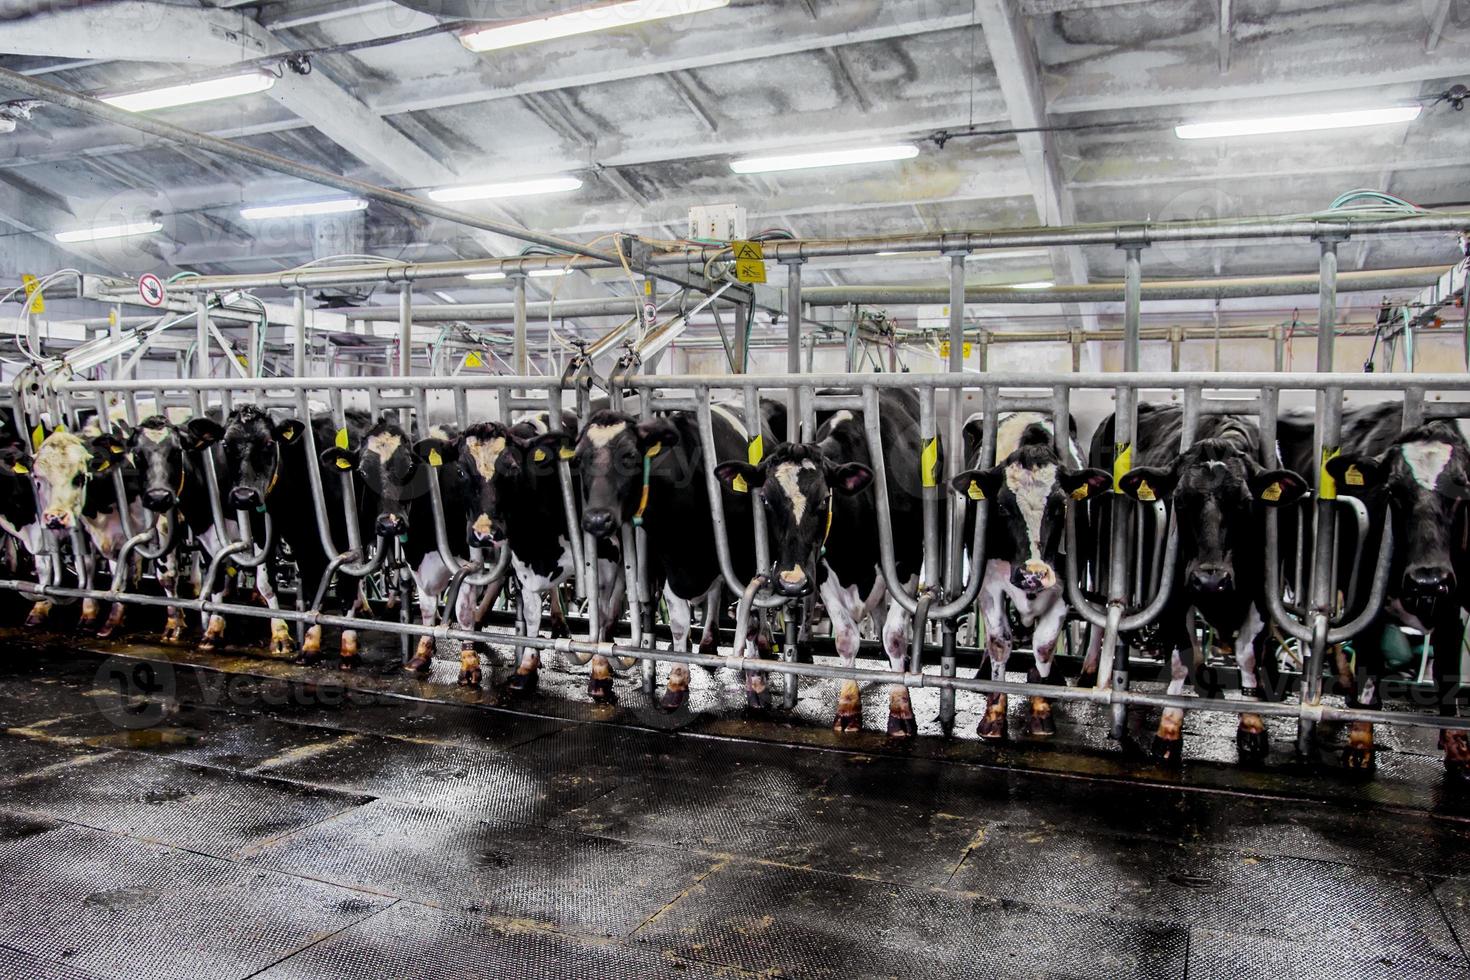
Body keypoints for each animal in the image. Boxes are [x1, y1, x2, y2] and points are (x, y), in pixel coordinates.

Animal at [320, 417, 476, 678]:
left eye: (410, 468)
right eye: (362, 472)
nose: (389, 523)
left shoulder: (467, 558)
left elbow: (464, 610)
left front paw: (470, 664)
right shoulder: (416, 555)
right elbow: (426, 606)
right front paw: (422, 654)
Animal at [711, 390, 917, 734]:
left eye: (824, 499)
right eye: (765, 499)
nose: (791, 582)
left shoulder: (908, 563)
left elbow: (895, 636)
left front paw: (901, 710)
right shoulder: (821, 570)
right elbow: (846, 637)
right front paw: (848, 707)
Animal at [946, 417, 1105, 740]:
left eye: (1061, 505)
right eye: (1002, 506)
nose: (1033, 574)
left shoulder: (1062, 587)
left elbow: (1044, 645)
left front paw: (1041, 710)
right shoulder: (990, 583)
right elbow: (998, 641)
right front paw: (994, 717)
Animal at [1105, 405, 1311, 764]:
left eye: (1244, 501)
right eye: (1180, 499)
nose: (1210, 580)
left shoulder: (1263, 595)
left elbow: (1248, 655)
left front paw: (1252, 724)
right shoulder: (1172, 593)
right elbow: (1181, 658)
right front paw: (1169, 728)